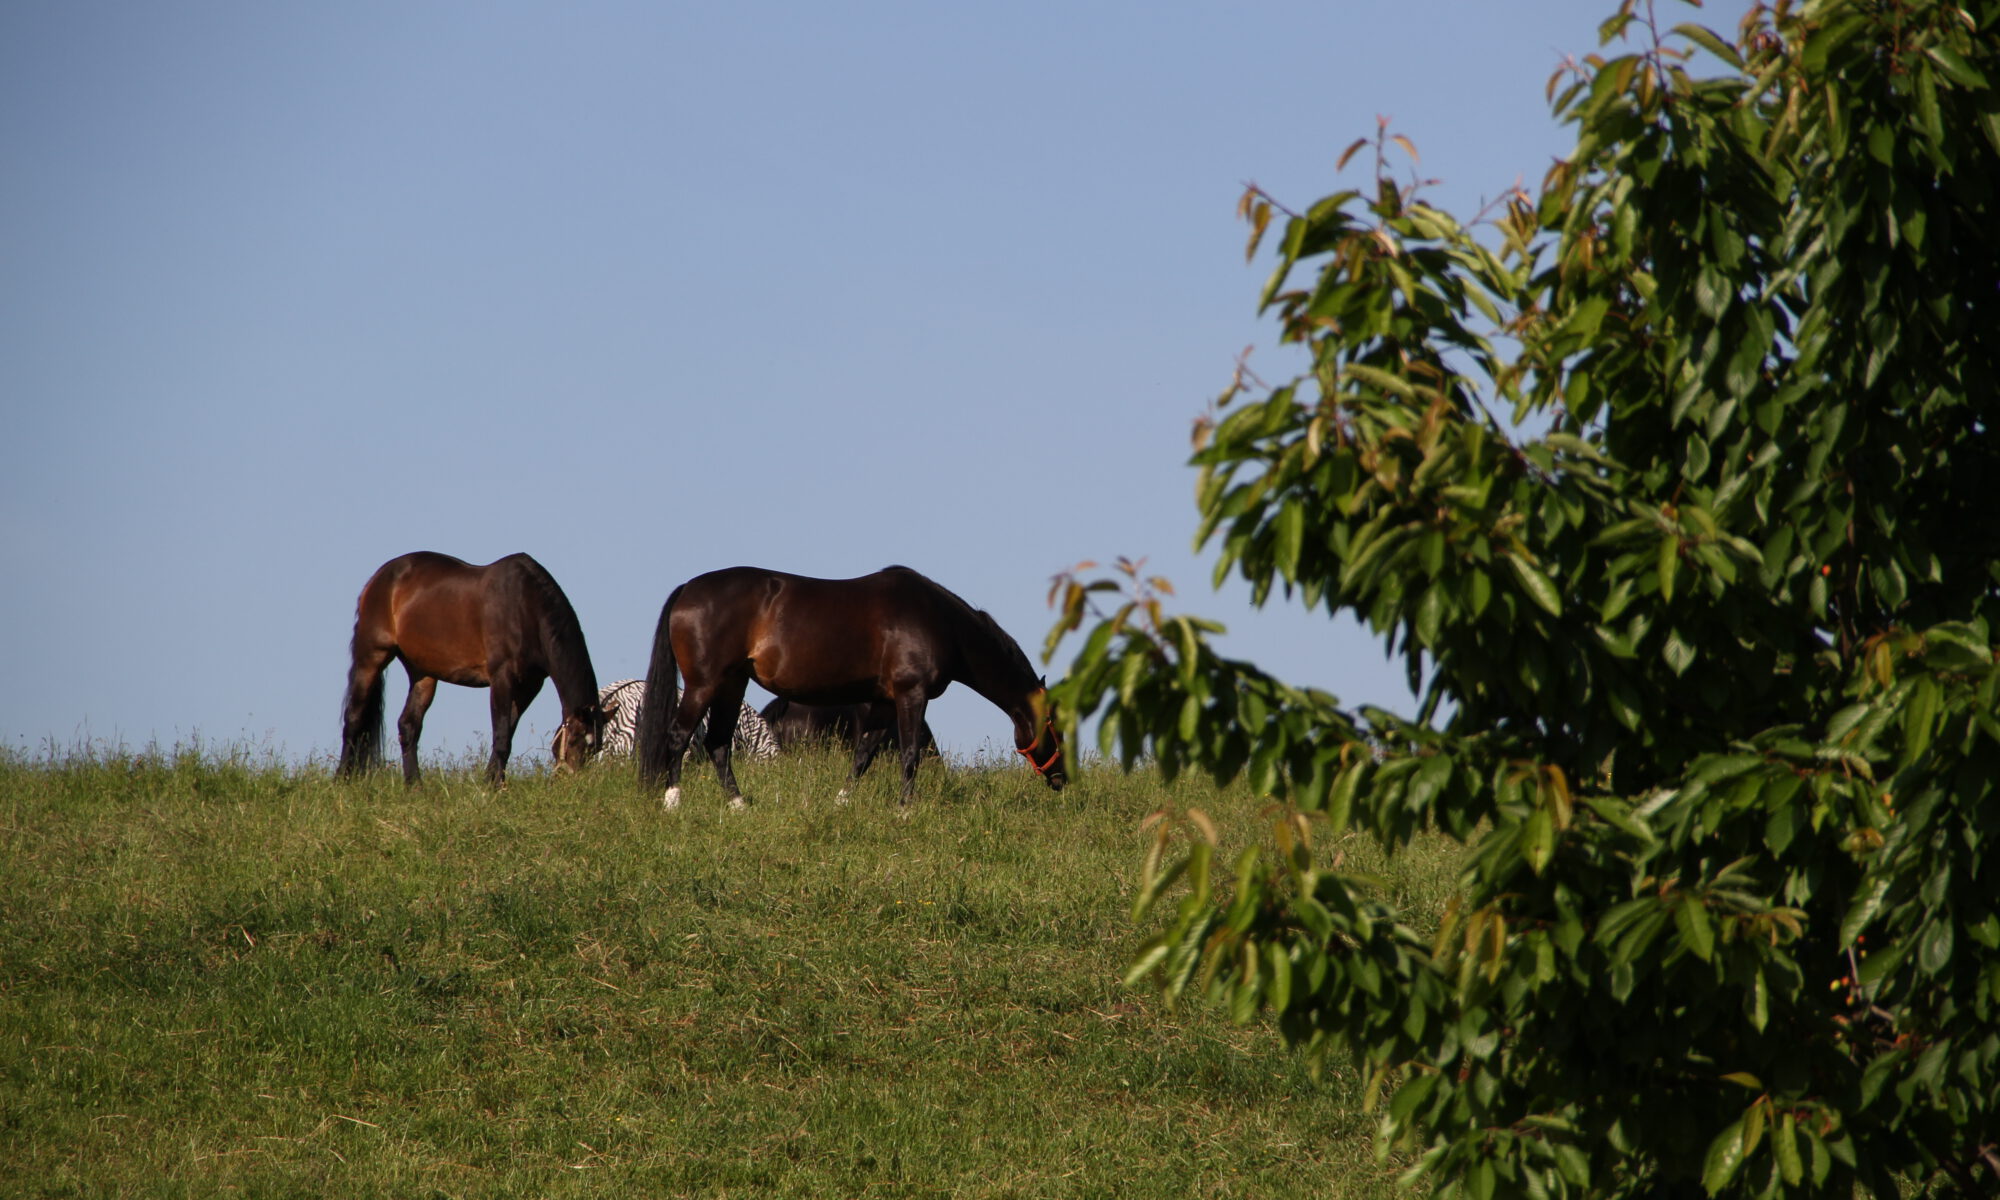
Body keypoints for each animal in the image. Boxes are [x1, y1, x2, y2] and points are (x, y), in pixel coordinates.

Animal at [336, 552, 604, 788]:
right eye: (576, 740)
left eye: (596, 747)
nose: (573, 783)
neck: (525, 606)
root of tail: (379, 578)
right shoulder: (502, 678)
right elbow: (502, 736)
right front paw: (494, 787)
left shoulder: (529, 686)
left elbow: (507, 733)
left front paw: (492, 782)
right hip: (371, 657)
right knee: (354, 718)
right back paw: (342, 780)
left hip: (422, 673)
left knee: (408, 726)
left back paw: (414, 786)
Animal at [636, 568, 1064, 812]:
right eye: (1056, 727)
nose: (1062, 779)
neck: (939, 622)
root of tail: (688, 590)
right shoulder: (911, 695)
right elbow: (909, 754)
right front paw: (905, 809)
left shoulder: (882, 702)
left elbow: (863, 755)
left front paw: (841, 803)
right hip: (704, 684)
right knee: (679, 736)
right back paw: (673, 803)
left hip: (732, 683)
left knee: (718, 743)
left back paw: (740, 806)